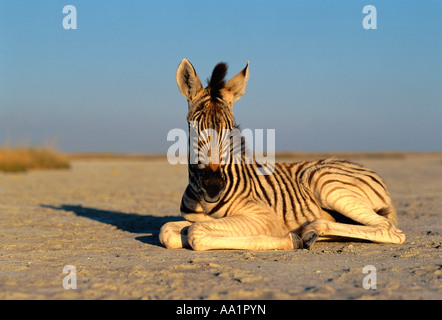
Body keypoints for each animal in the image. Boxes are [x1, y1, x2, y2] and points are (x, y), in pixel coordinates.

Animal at [161, 58, 406, 251]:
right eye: (194, 128)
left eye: (231, 130)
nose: (213, 186)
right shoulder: (191, 219)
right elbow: (167, 231)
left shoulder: (264, 217)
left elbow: (196, 233)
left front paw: (288, 239)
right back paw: (312, 234)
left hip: (323, 180)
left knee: (389, 229)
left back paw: (311, 229)